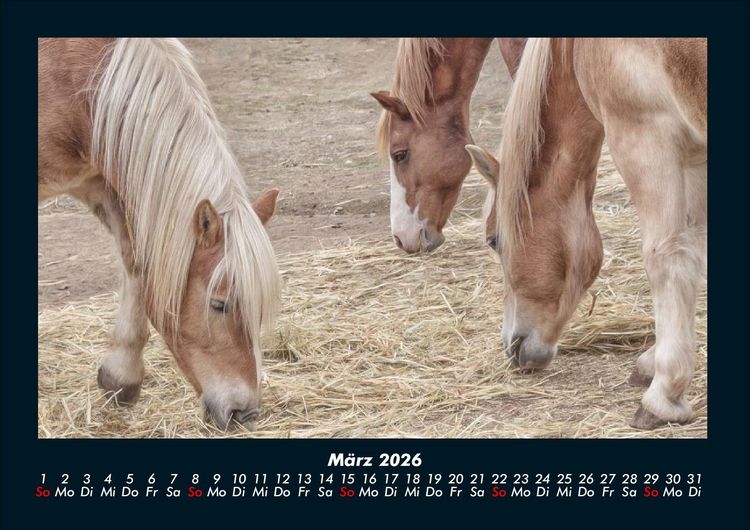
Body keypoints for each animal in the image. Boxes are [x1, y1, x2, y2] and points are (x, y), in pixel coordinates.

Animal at [38, 38, 281, 430]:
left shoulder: (101, 182)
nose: (245, 413)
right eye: (219, 304)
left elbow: (137, 263)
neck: (71, 74)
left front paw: (121, 376)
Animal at [465, 38, 706, 429]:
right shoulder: (695, 156)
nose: (513, 347)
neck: (578, 50)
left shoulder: (645, 137)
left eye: (493, 240)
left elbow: (667, 260)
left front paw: (663, 395)